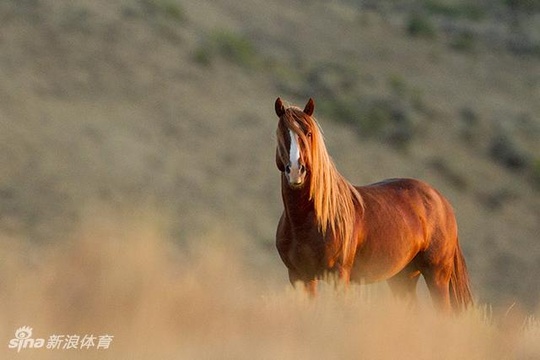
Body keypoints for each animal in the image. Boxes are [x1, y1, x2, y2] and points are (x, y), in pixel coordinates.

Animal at [274, 97, 472, 310]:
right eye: (281, 133)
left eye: (308, 133)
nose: (296, 171)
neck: (307, 221)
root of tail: (441, 201)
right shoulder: (300, 277)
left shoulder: (339, 277)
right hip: (403, 277)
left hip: (437, 275)